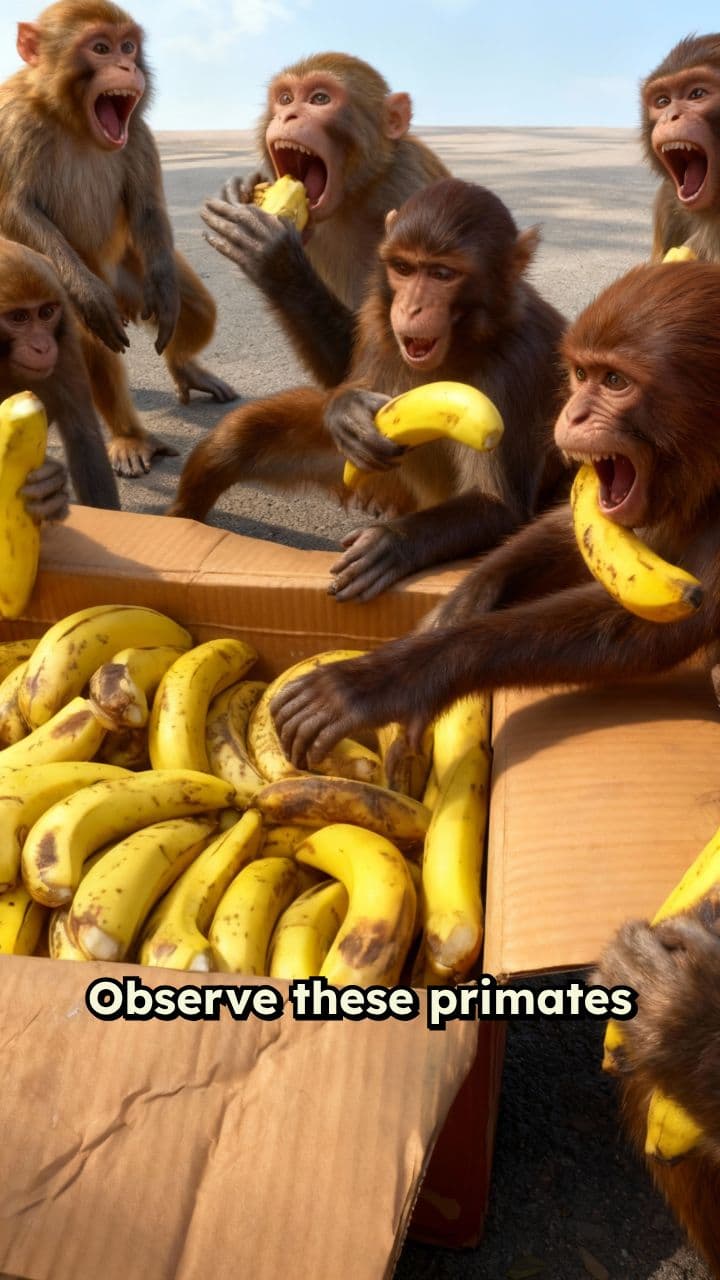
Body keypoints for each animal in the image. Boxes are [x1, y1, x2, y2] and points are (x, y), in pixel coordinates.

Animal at [0, 1, 236, 479]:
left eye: (128, 47)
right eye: (101, 48)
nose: (128, 66)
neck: (71, 121)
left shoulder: (137, 128)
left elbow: (146, 205)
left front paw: (168, 299)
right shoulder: (14, 123)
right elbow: (17, 209)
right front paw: (88, 293)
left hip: (132, 269)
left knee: (198, 309)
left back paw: (184, 367)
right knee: (92, 340)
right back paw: (130, 437)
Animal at [0, 237, 119, 512]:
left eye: (46, 313)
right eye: (19, 317)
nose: (42, 347)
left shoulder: (64, 337)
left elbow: (83, 433)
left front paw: (49, 492)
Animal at [171, 179, 568, 602]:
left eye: (443, 273)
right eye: (404, 268)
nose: (410, 308)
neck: (467, 339)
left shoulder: (517, 367)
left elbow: (499, 505)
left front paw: (395, 542)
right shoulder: (378, 322)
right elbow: (345, 371)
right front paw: (273, 261)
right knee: (241, 438)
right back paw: (181, 518)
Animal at [201, 51, 450, 388]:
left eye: (320, 99)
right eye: (285, 98)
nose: (287, 115)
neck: (353, 195)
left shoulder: (409, 189)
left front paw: (274, 260)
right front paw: (240, 188)